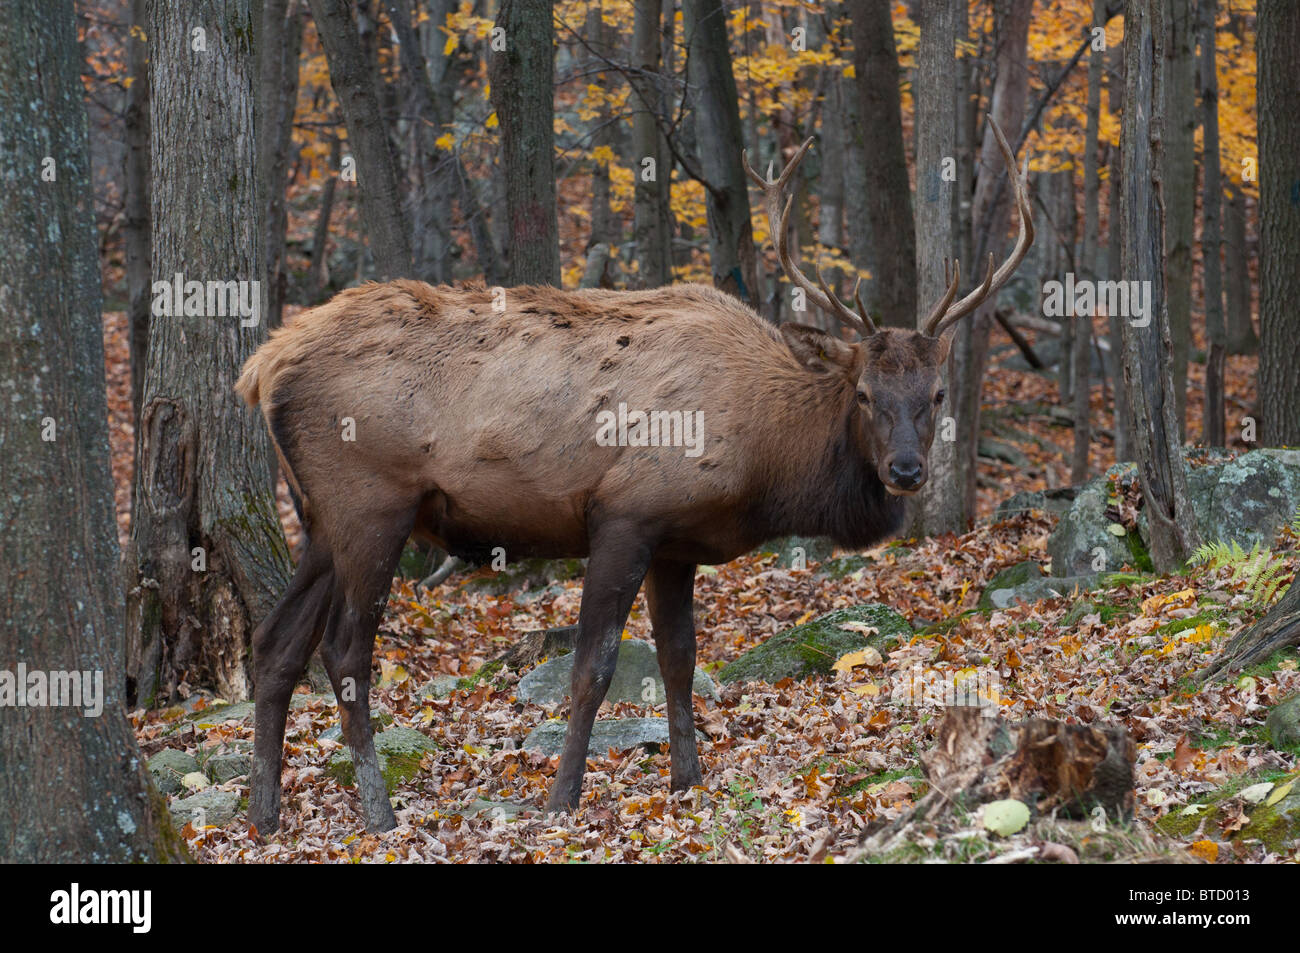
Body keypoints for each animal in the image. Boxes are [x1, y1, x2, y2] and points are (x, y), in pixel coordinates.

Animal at [236, 117, 1034, 832]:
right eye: (864, 392)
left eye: (936, 395)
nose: (906, 470)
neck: (763, 462)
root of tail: (262, 367)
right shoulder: (626, 513)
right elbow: (594, 667)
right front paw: (562, 799)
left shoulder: (677, 541)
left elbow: (680, 658)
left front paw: (687, 779)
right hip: (372, 502)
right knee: (343, 651)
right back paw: (378, 813)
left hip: (319, 517)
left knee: (275, 646)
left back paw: (264, 815)